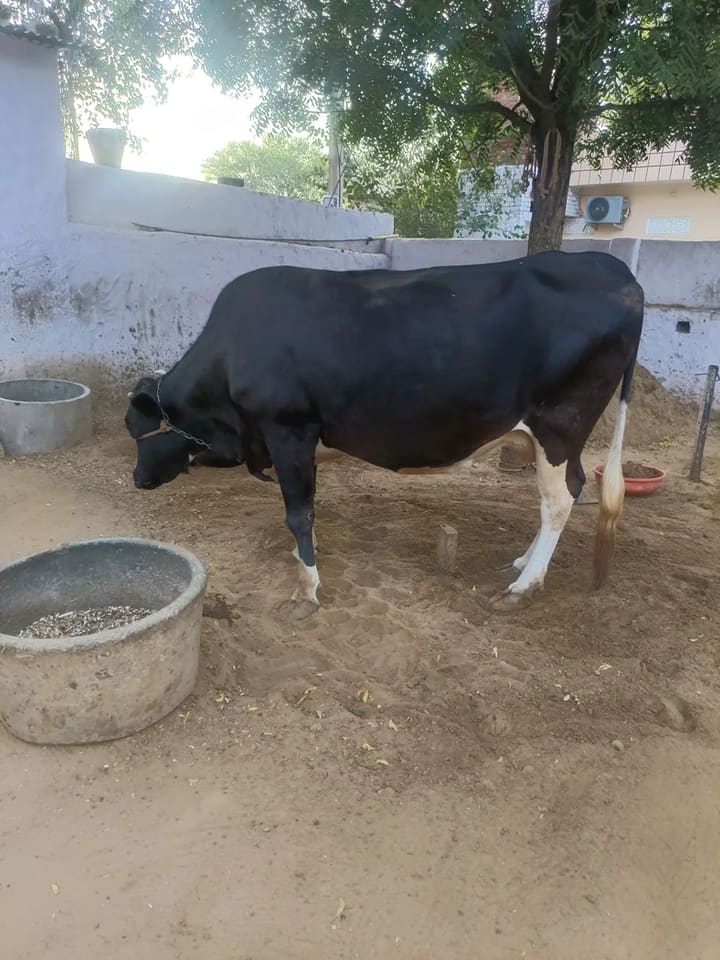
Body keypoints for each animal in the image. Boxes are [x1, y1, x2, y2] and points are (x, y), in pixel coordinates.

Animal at [125, 251, 643, 617]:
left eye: (136, 430)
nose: (137, 479)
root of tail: (612, 266)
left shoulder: (288, 430)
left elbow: (299, 516)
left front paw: (306, 592)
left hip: (560, 424)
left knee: (560, 498)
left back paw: (523, 587)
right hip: (548, 436)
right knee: (562, 494)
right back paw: (520, 564)